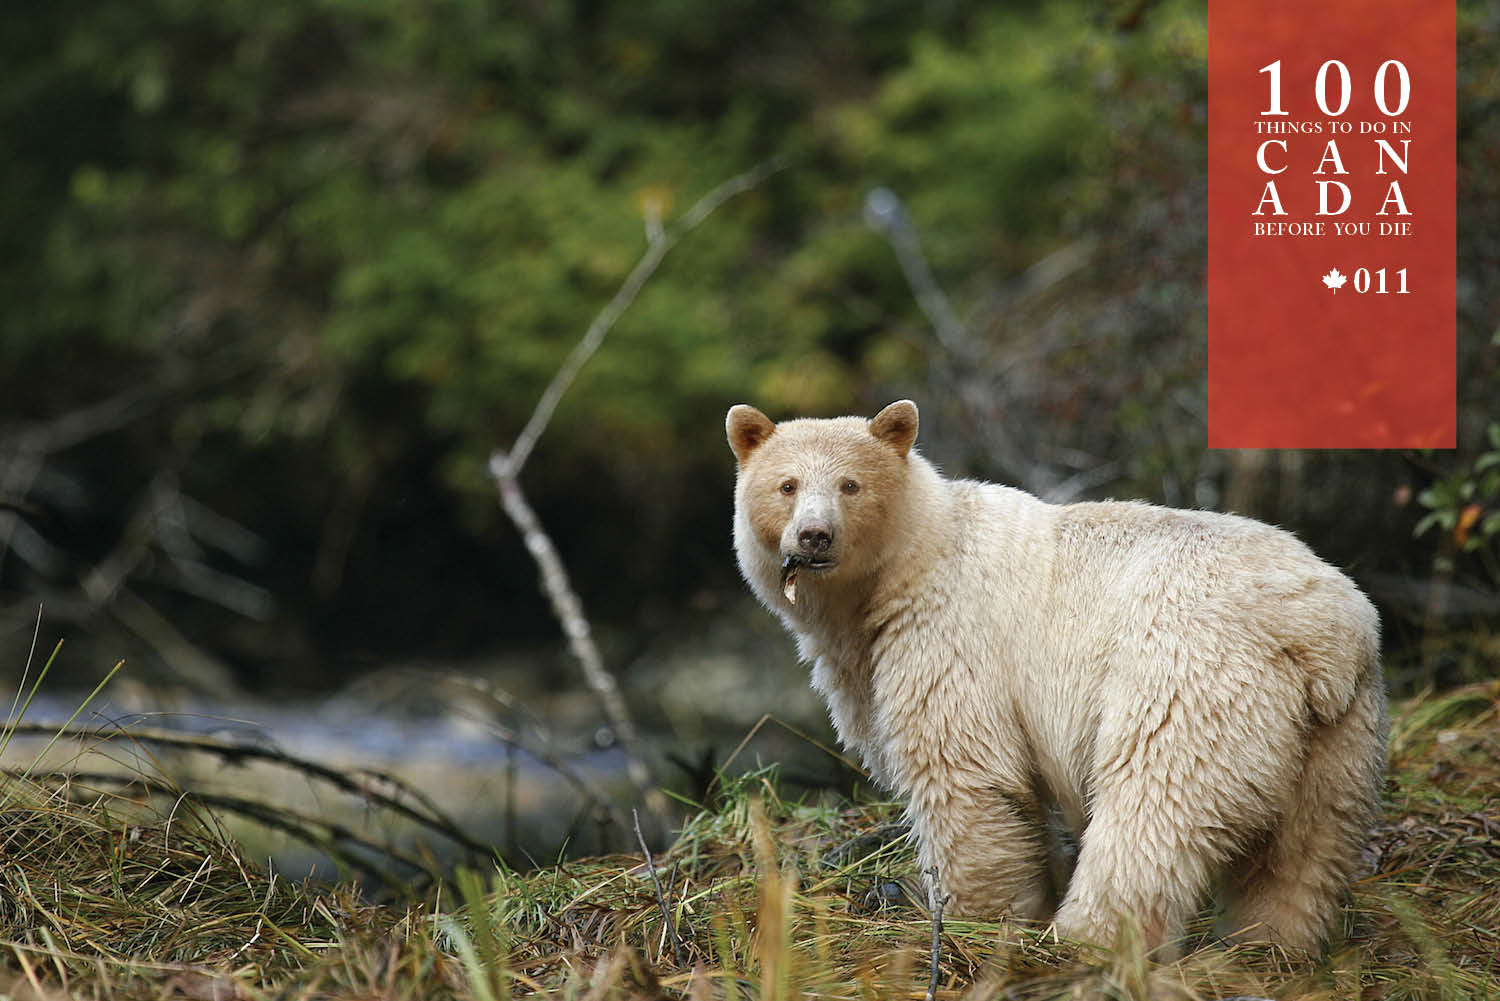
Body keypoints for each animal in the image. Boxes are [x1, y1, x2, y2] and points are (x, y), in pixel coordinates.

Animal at [723, 402, 1380, 954]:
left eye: (850, 484)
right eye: (787, 485)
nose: (814, 535)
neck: (905, 567)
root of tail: (1319, 631)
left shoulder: (950, 635)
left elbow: (965, 774)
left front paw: (972, 920)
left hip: (1189, 678)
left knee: (1153, 808)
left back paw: (1087, 938)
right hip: (1338, 728)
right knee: (1303, 847)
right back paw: (1269, 944)